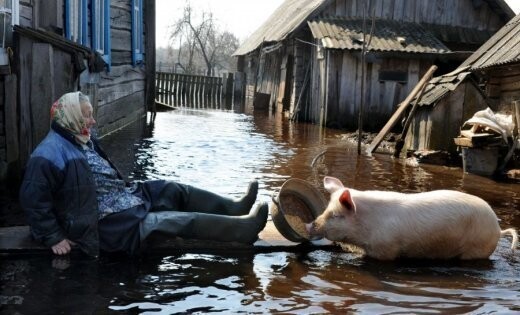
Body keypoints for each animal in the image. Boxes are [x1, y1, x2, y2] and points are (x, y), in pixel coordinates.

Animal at [306, 177, 516, 260]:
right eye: (326, 209)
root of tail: (498, 229)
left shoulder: (386, 249)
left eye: (336, 215)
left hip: (476, 249)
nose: (309, 225)